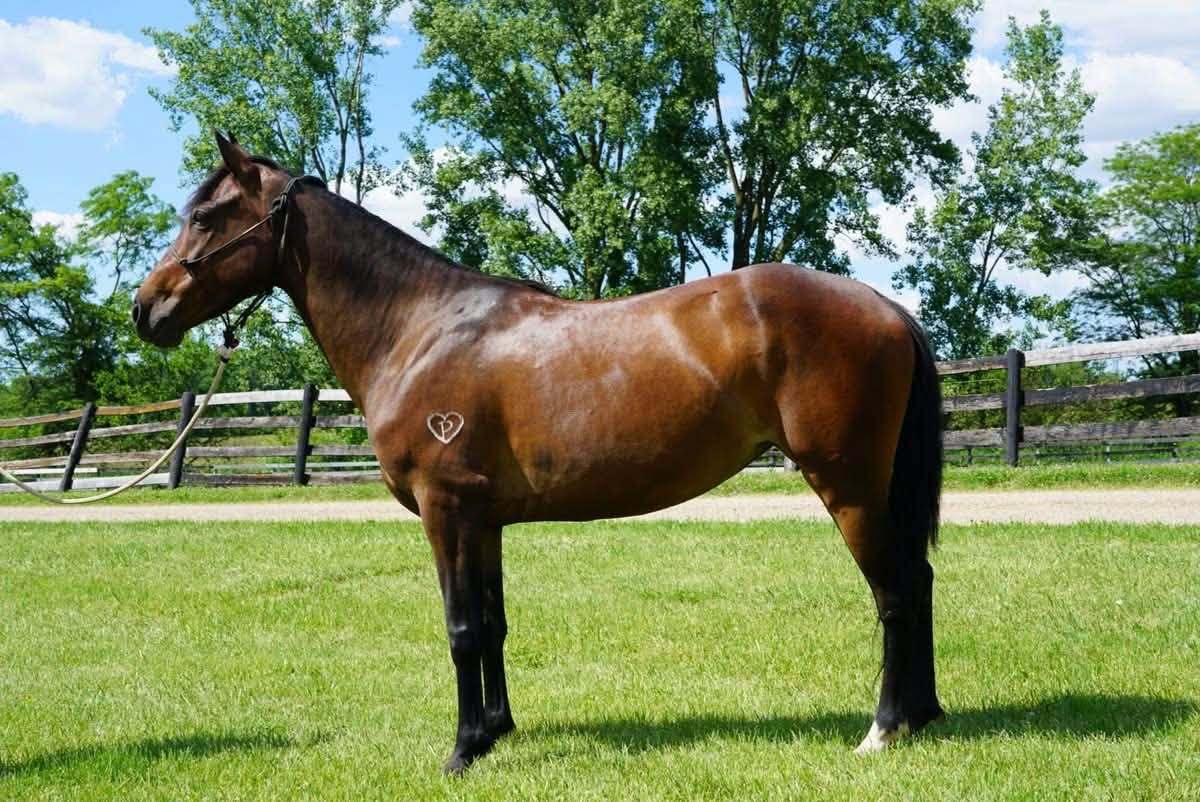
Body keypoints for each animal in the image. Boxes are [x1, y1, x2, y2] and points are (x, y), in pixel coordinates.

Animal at [133, 132, 945, 773]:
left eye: (204, 217)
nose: (147, 309)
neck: (418, 327)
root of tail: (884, 305)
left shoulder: (446, 510)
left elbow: (461, 628)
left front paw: (462, 750)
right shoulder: (483, 519)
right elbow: (492, 624)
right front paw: (497, 731)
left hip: (847, 487)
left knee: (895, 592)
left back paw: (883, 730)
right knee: (920, 580)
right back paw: (925, 715)